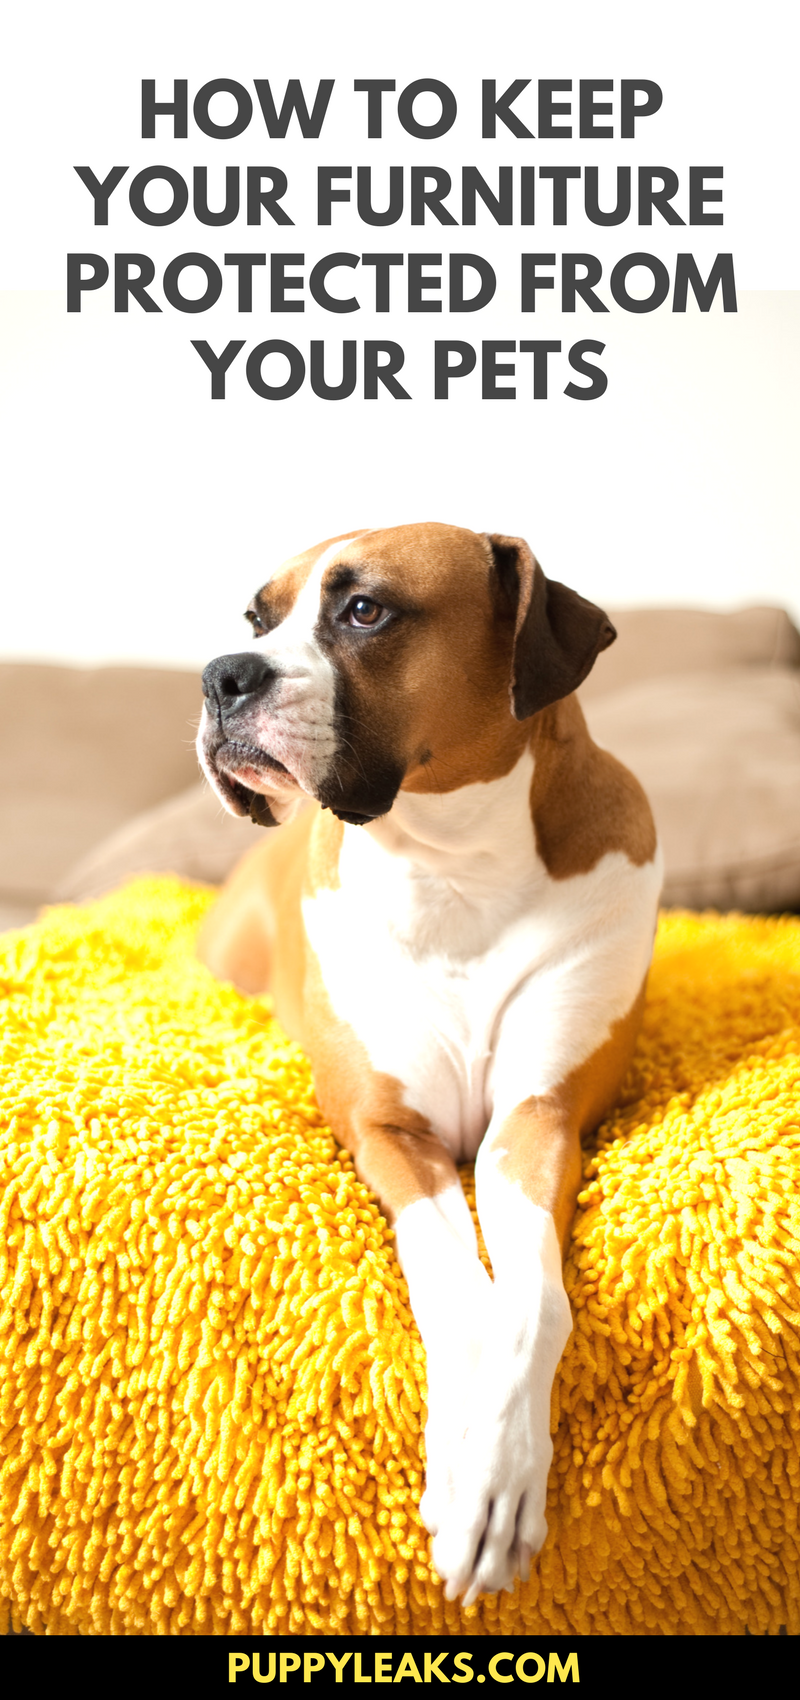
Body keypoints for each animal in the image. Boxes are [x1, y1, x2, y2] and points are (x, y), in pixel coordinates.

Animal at [195, 520, 662, 1604]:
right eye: (255, 618)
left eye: (365, 610)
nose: (221, 674)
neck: (456, 861)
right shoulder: (390, 1132)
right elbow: (456, 1286)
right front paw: (467, 1466)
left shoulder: (534, 1123)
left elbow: (529, 1302)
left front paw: (498, 1474)